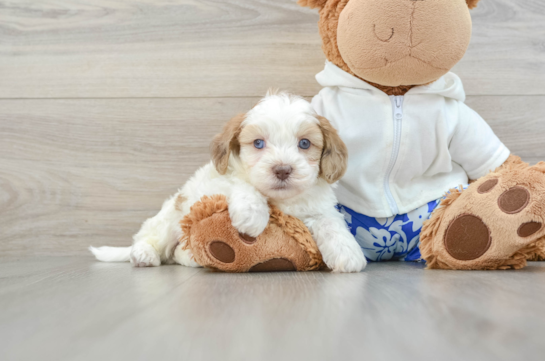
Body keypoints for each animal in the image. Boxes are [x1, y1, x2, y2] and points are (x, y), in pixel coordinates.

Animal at [90, 90, 366, 272]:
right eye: (258, 143)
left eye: (305, 144)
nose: (282, 170)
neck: (281, 200)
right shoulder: (212, 184)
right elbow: (240, 184)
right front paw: (252, 215)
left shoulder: (318, 205)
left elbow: (330, 221)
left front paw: (348, 251)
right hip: (170, 218)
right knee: (150, 238)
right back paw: (144, 254)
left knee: (177, 253)